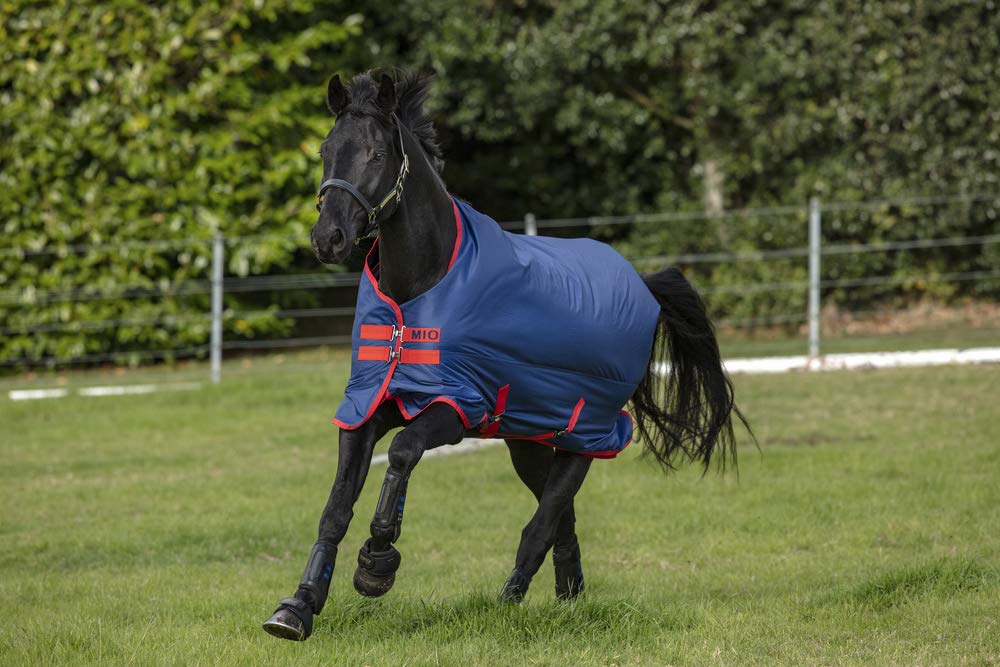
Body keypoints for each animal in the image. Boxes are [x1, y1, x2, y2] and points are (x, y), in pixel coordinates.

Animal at [263, 70, 751, 641]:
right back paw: (569, 596)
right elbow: (336, 506)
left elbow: (403, 452)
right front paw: (297, 607)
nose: (329, 238)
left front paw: (376, 565)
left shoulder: (455, 407)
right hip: (529, 440)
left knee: (542, 522)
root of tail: (643, 286)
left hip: (587, 436)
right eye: (325, 150)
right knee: (561, 517)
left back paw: (509, 601)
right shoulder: (367, 404)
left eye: (378, 153)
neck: (421, 289)